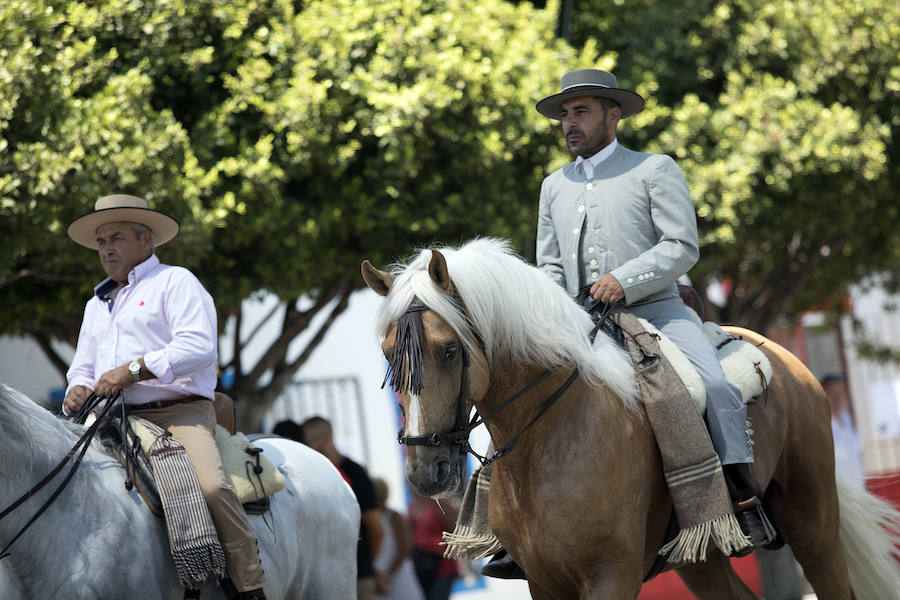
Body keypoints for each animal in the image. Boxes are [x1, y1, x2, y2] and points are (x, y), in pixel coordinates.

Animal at [362, 239, 900, 600]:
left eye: (449, 351)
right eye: (388, 353)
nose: (425, 473)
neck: (548, 439)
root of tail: (785, 359)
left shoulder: (609, 575)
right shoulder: (544, 582)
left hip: (813, 521)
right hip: (700, 557)